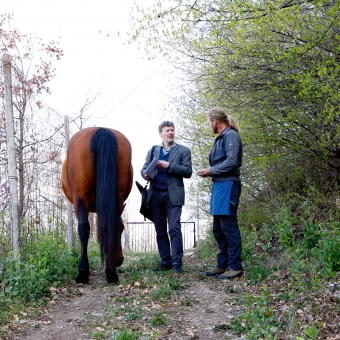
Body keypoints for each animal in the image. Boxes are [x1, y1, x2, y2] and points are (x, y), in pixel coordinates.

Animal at [62, 127, 133, 284]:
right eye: (122, 229)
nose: (120, 260)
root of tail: (102, 130)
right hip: (116, 198)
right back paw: (111, 273)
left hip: (80, 199)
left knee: (83, 229)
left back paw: (83, 273)